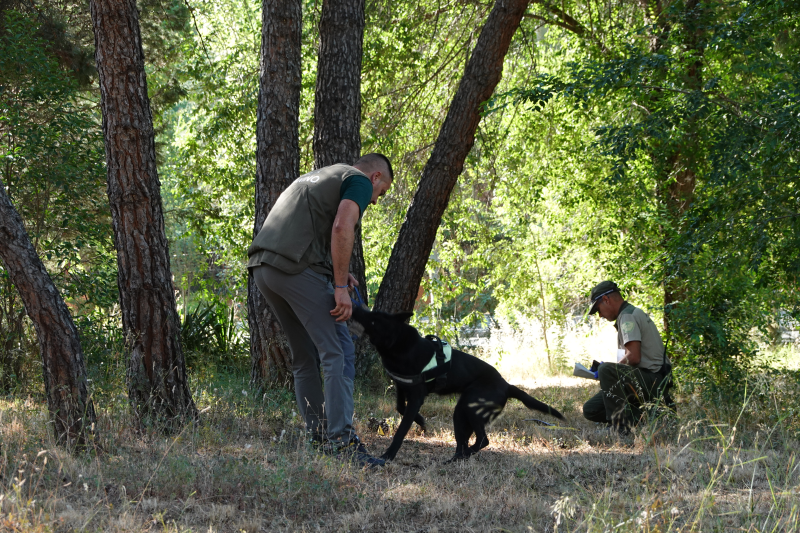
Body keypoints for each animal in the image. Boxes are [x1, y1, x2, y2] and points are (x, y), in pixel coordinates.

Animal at [354, 308, 564, 462]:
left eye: (373, 320)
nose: (357, 307)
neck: (400, 344)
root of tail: (507, 385)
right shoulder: (402, 387)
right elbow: (399, 407)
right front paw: (421, 421)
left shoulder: (416, 396)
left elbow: (401, 430)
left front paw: (387, 457)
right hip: (461, 413)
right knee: (463, 440)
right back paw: (456, 458)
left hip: (472, 409)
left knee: (483, 440)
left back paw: (465, 455)